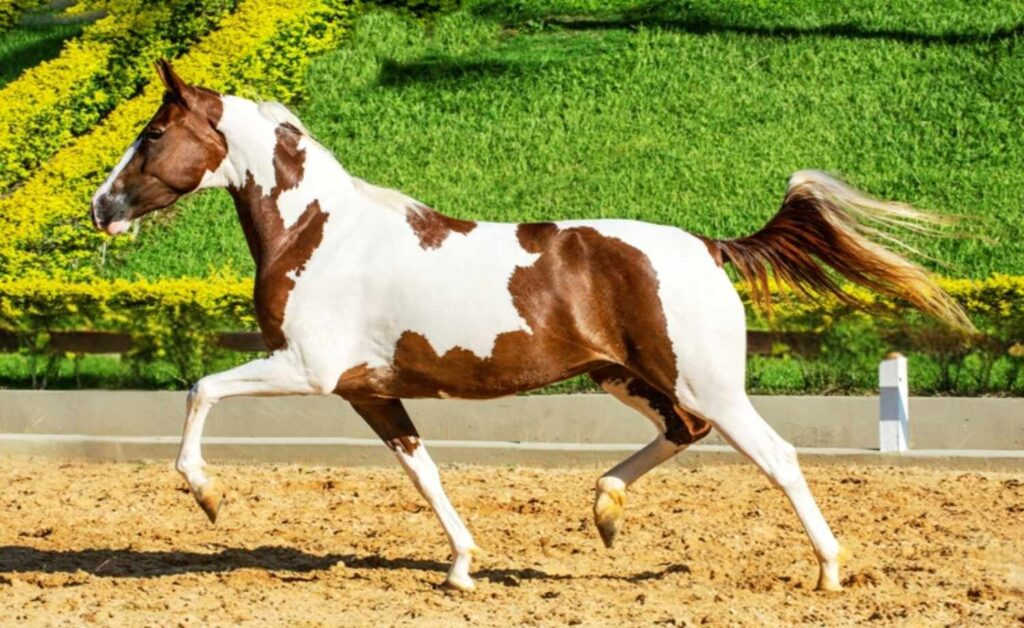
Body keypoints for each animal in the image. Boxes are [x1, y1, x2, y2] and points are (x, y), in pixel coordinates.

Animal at [90, 60, 971, 592]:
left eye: (154, 133)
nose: (100, 207)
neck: (322, 232)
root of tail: (708, 246)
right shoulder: (368, 390)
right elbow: (423, 472)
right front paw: (462, 566)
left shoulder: (305, 369)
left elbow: (202, 388)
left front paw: (206, 496)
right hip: (627, 377)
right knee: (681, 434)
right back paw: (605, 510)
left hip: (706, 382)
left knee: (776, 456)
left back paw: (829, 570)